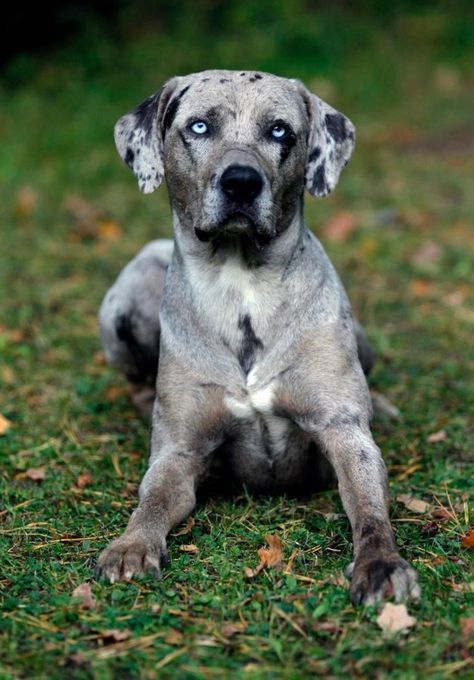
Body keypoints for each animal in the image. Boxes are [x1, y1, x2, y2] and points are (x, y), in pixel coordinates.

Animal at [95, 70, 418, 604]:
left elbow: (369, 508)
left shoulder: (343, 432)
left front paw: (380, 563)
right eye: (199, 126)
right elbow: (153, 499)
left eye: (280, 131)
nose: (241, 180)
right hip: (125, 295)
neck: (241, 282)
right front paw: (131, 545)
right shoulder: (179, 450)